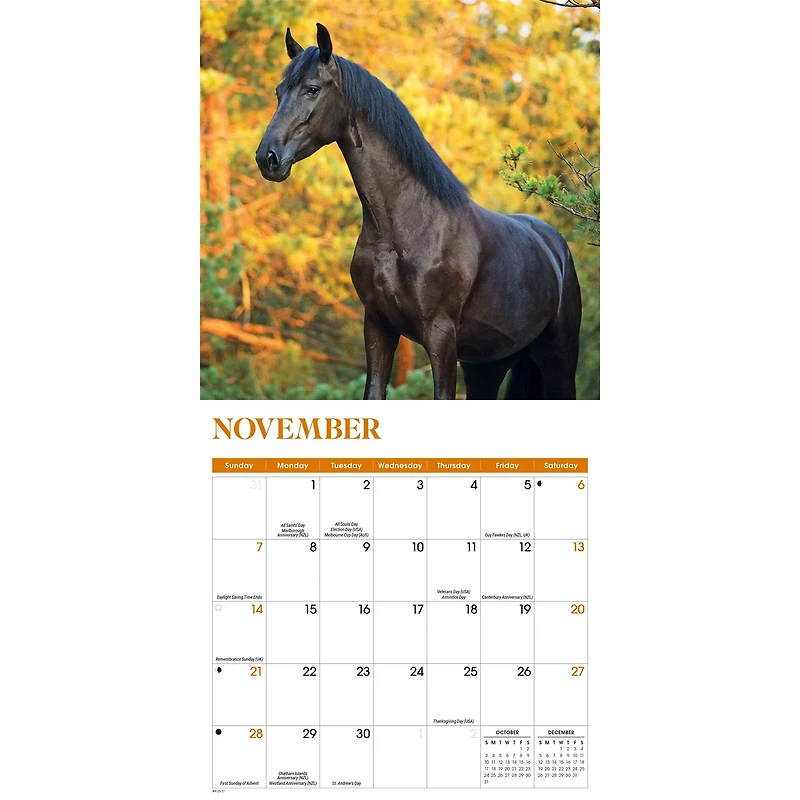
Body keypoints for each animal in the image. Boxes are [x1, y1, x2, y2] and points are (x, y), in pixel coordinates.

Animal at [255, 23, 581, 400]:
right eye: (279, 91)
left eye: (312, 89)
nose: (267, 158)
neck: (406, 228)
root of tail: (554, 246)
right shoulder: (377, 326)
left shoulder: (440, 335)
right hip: (487, 365)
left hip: (558, 360)